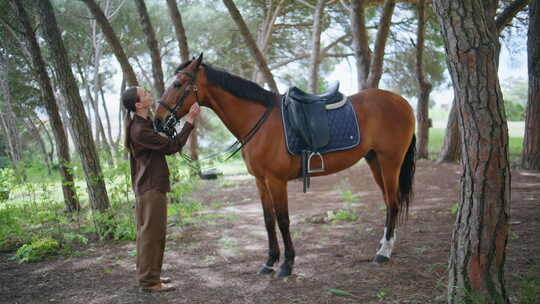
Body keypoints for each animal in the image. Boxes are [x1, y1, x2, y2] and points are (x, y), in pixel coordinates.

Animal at [154, 52, 416, 278]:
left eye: (177, 84)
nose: (157, 121)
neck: (259, 121)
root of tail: (402, 102)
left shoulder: (276, 181)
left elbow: (283, 220)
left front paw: (287, 264)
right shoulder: (260, 181)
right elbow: (268, 221)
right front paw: (269, 262)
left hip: (390, 161)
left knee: (393, 203)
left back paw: (383, 252)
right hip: (375, 161)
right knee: (388, 202)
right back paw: (384, 244)